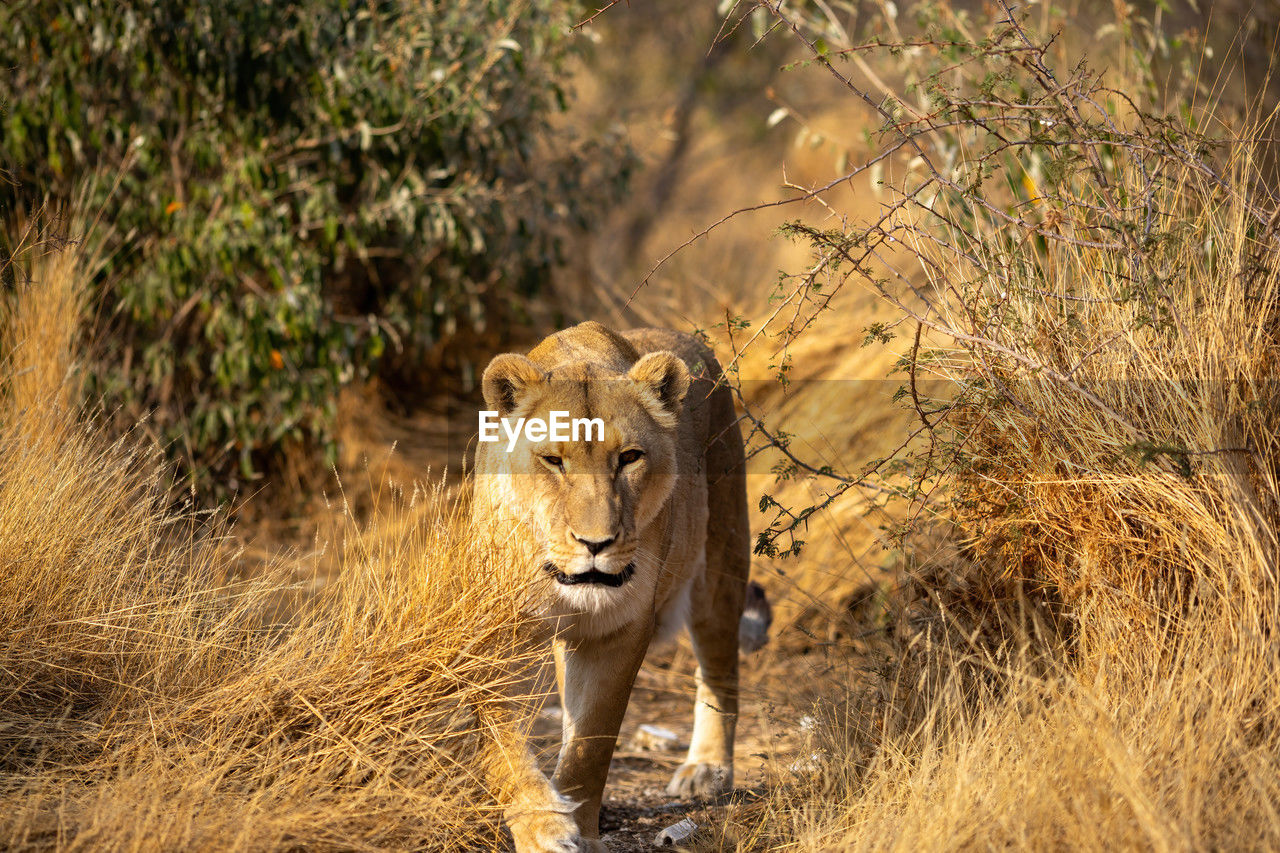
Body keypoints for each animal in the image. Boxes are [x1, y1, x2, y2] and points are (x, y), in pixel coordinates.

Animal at [472, 321, 762, 852]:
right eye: (553, 460)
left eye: (629, 458)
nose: (596, 543)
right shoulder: (495, 632)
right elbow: (503, 744)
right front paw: (543, 825)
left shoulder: (620, 630)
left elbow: (593, 742)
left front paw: (580, 830)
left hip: (719, 568)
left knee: (718, 669)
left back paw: (706, 768)